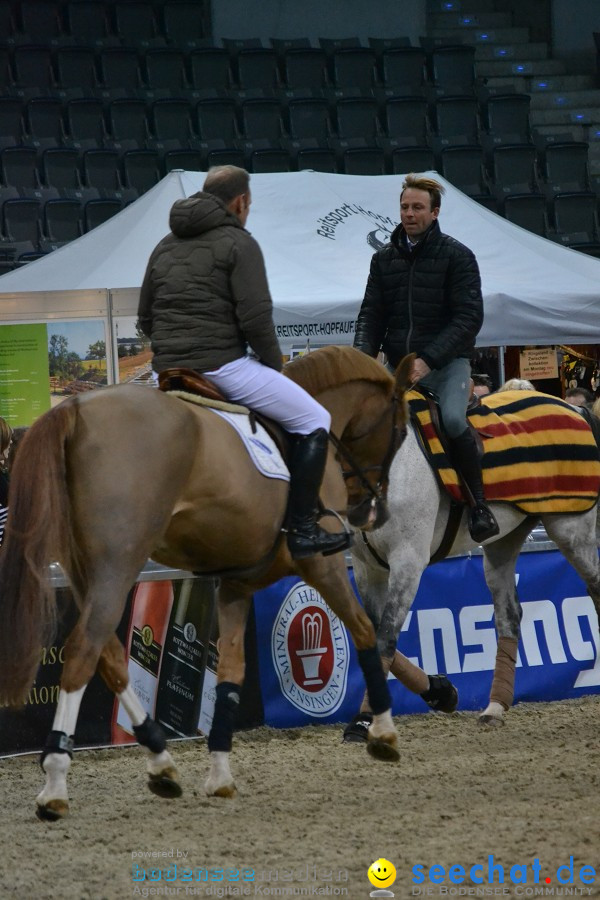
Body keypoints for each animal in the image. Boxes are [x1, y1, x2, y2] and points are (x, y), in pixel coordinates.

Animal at [0, 346, 432, 824]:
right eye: (400, 430)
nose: (369, 512)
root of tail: (74, 409)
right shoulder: (324, 566)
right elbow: (366, 631)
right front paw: (381, 732)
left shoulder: (235, 584)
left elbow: (229, 673)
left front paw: (221, 772)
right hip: (117, 564)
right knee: (83, 650)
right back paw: (56, 783)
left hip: (85, 571)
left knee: (109, 657)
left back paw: (160, 761)